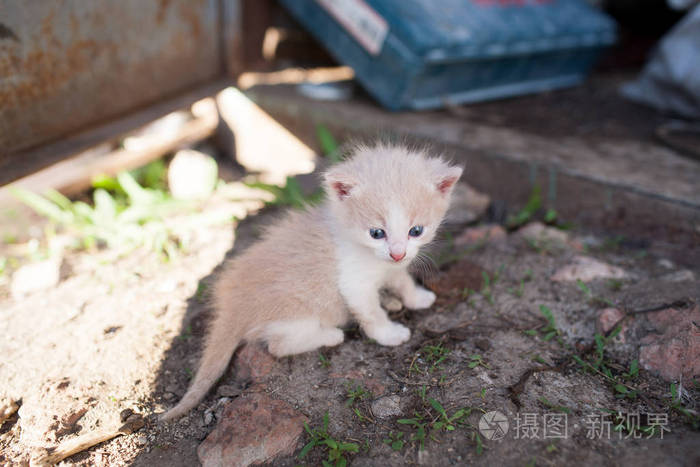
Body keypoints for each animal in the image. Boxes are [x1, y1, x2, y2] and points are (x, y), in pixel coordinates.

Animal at [161, 143, 462, 420]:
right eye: (376, 233)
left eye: (416, 231)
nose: (397, 253)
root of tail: (232, 307)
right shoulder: (354, 283)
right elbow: (371, 313)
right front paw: (389, 334)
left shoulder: (392, 268)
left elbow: (402, 280)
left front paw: (417, 297)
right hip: (295, 314)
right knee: (278, 345)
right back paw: (331, 335)